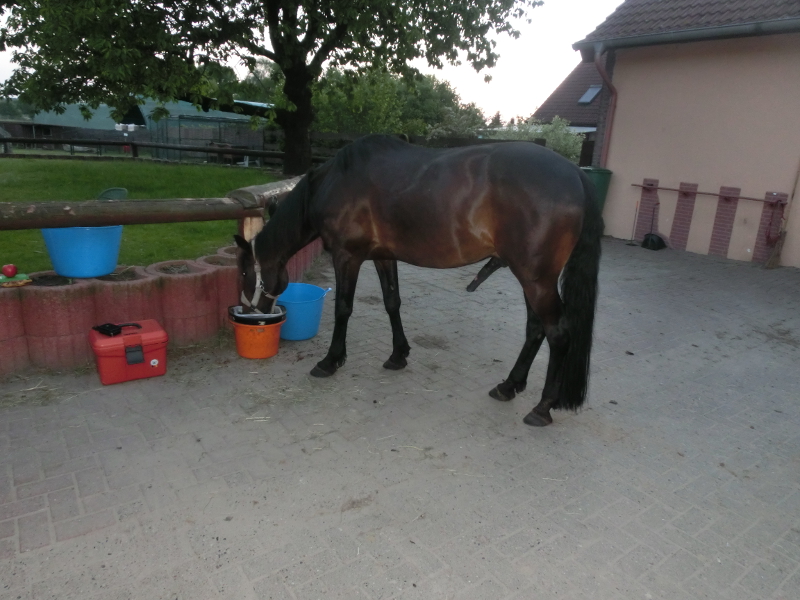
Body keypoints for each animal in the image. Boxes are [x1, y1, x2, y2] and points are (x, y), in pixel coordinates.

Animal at [235, 134, 603, 426]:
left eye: (244, 272)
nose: (253, 314)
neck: (334, 182)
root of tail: (575, 174)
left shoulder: (346, 257)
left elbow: (343, 309)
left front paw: (330, 360)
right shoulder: (383, 256)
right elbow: (391, 302)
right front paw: (398, 354)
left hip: (536, 279)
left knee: (558, 334)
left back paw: (543, 407)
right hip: (530, 278)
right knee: (535, 329)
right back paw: (508, 386)